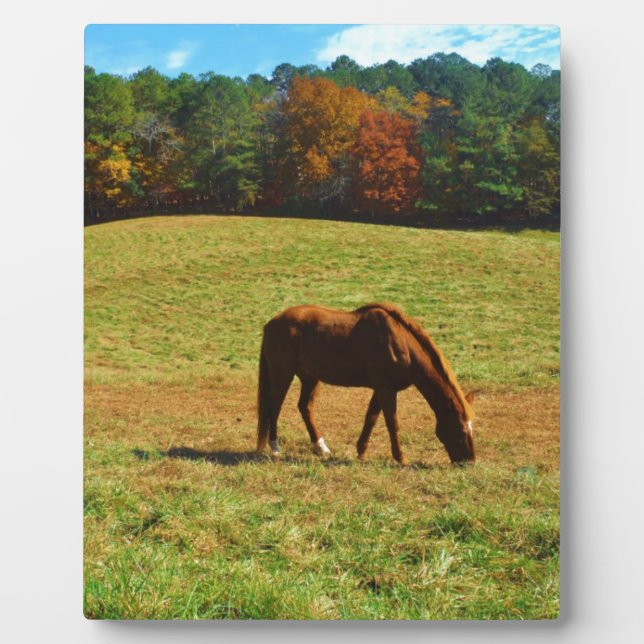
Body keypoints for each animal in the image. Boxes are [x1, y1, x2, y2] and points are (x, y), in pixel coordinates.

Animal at [256, 303, 475, 465]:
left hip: (310, 378)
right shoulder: (386, 390)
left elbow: (371, 418)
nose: (469, 462)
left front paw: (361, 452)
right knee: (274, 408)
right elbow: (392, 423)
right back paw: (275, 447)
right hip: (282, 375)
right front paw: (400, 458)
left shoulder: (381, 389)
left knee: (304, 407)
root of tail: (271, 324)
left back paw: (321, 447)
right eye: (461, 430)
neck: (401, 344)